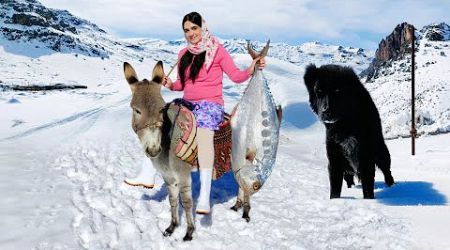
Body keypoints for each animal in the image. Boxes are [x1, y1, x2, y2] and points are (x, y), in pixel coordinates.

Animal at [302, 64, 394, 199]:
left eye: (337, 91)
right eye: (318, 91)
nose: (326, 111)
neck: (345, 124)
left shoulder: (366, 157)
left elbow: (368, 188)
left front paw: (369, 200)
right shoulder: (334, 157)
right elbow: (335, 188)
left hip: (380, 150)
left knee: (386, 169)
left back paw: (392, 185)